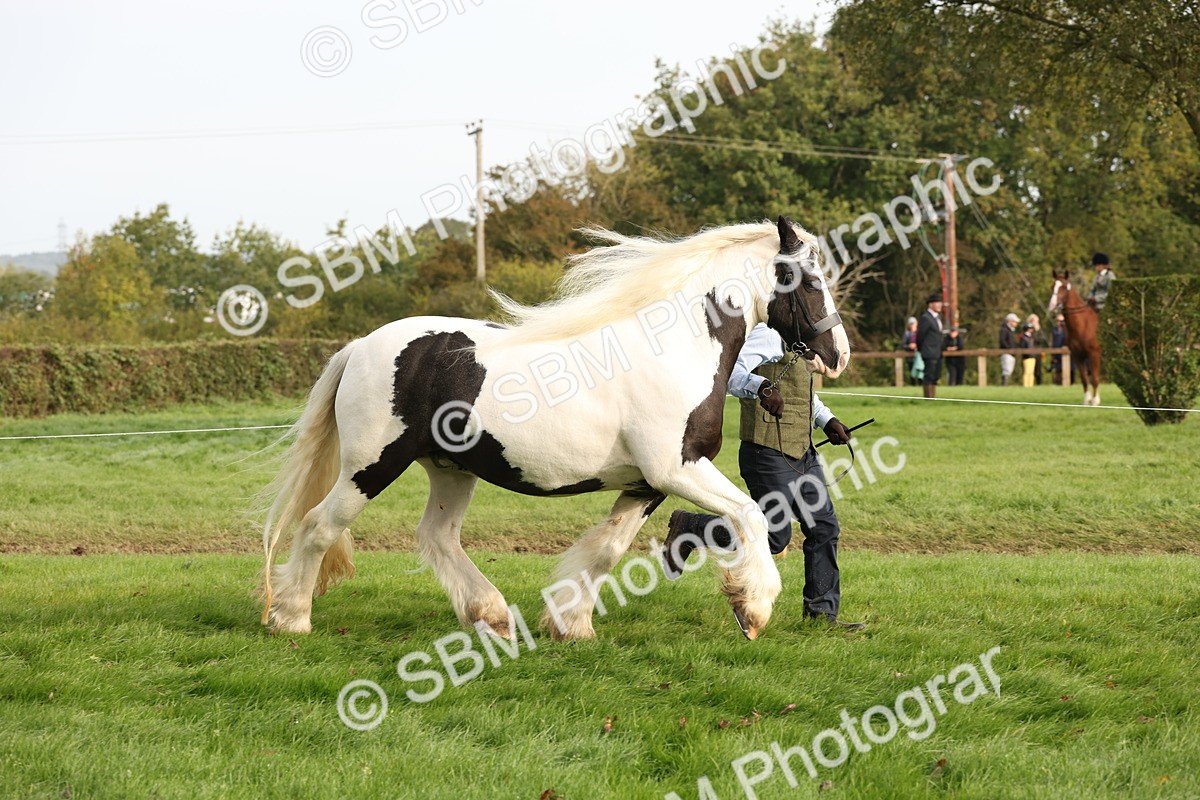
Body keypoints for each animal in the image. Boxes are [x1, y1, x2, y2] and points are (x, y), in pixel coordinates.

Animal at [257, 216, 850, 642]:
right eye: (809, 280)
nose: (837, 355)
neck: (676, 348)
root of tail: (362, 346)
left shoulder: (646, 484)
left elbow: (607, 551)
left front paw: (572, 625)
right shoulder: (677, 469)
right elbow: (750, 513)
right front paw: (753, 608)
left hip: (452, 469)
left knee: (437, 537)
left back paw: (494, 617)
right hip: (373, 464)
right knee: (318, 526)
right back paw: (292, 618)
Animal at [1048, 270, 1102, 405]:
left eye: (1064, 287)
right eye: (1052, 286)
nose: (1052, 305)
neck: (1083, 324)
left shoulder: (1094, 353)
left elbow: (1095, 377)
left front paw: (1095, 401)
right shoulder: (1078, 355)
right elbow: (1084, 378)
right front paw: (1086, 400)